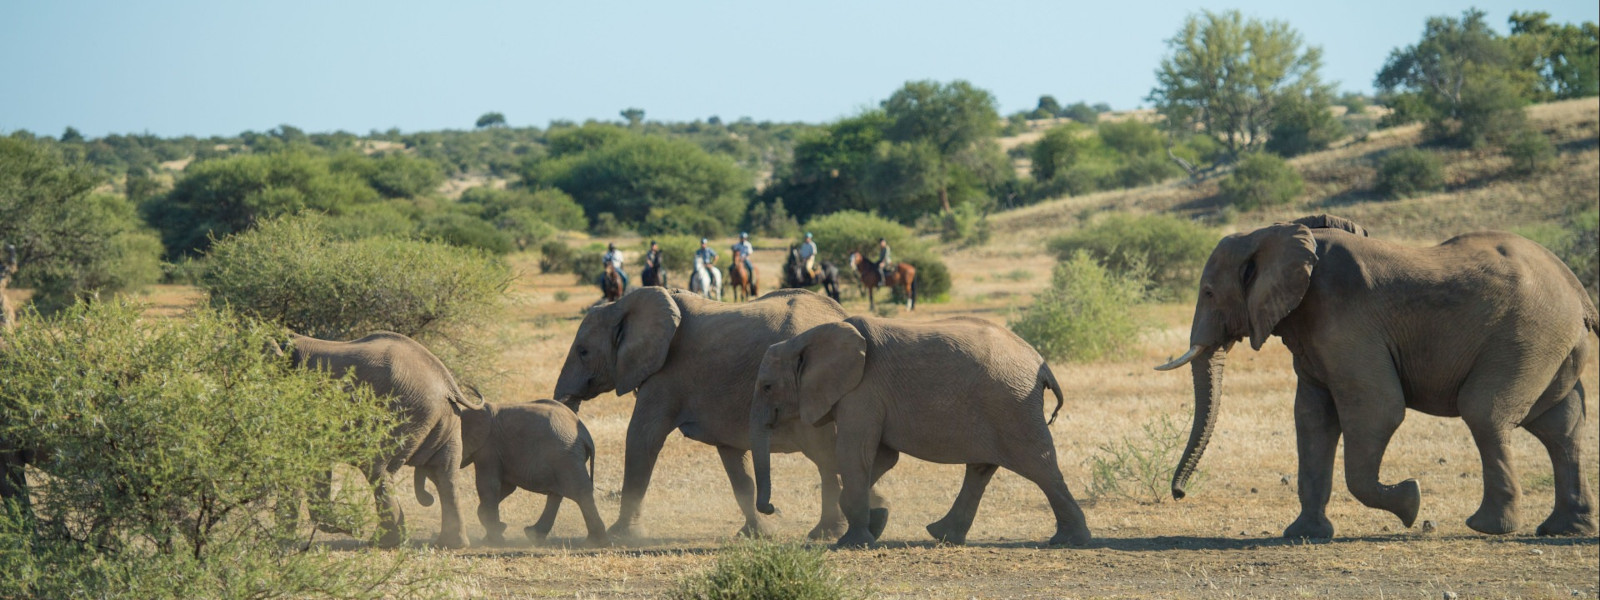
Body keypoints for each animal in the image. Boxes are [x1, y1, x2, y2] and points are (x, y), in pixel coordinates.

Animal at [422, 401, 601, 547]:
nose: (428, 499)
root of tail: (586, 436)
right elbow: (506, 487)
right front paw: (497, 529)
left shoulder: (489, 447)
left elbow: (488, 484)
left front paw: (495, 538)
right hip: (564, 457)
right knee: (557, 493)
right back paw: (533, 536)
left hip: (565, 455)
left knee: (579, 492)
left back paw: (594, 542)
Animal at [550, 286, 889, 540]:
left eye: (583, 351)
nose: (772, 508)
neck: (622, 305)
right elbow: (734, 461)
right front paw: (756, 534)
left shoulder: (667, 375)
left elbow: (642, 438)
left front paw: (621, 536)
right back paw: (856, 523)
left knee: (825, 454)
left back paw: (850, 525)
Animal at [748, 316, 1088, 553]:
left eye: (767, 387)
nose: (771, 508)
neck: (805, 339)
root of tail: (1041, 363)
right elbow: (883, 458)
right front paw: (877, 519)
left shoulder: (862, 391)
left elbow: (854, 454)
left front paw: (852, 543)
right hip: (1005, 406)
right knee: (982, 468)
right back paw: (942, 535)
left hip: (1012, 405)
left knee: (1040, 467)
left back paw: (1070, 541)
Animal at [1158, 216, 1593, 540]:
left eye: (1208, 292)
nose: (1178, 494)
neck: (1273, 233)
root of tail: (1578, 290)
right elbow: (1312, 419)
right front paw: (1303, 535)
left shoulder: (1345, 321)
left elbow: (1377, 410)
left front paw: (1411, 502)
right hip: (1553, 343)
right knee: (1560, 425)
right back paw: (1564, 529)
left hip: (1528, 334)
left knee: (1485, 412)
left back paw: (1488, 527)